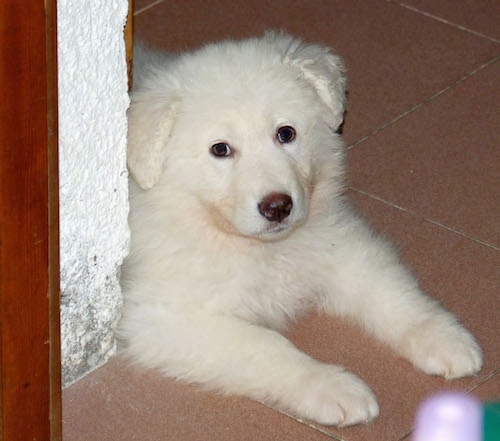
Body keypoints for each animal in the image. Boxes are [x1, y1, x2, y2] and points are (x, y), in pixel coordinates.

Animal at [119, 33, 482, 426]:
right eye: (220, 149)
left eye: (286, 133)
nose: (278, 207)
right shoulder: (164, 318)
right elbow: (265, 347)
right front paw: (332, 387)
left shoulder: (342, 246)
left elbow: (392, 293)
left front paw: (444, 338)